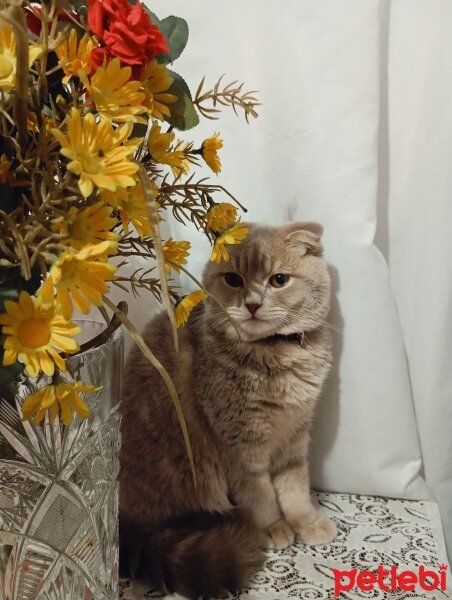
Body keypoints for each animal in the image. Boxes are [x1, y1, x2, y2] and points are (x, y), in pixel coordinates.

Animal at [118, 223, 338, 596]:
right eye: (234, 279)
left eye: (279, 279)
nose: (252, 304)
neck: (276, 354)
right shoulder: (240, 444)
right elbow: (260, 494)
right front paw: (274, 526)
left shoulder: (295, 434)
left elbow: (294, 486)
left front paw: (305, 521)